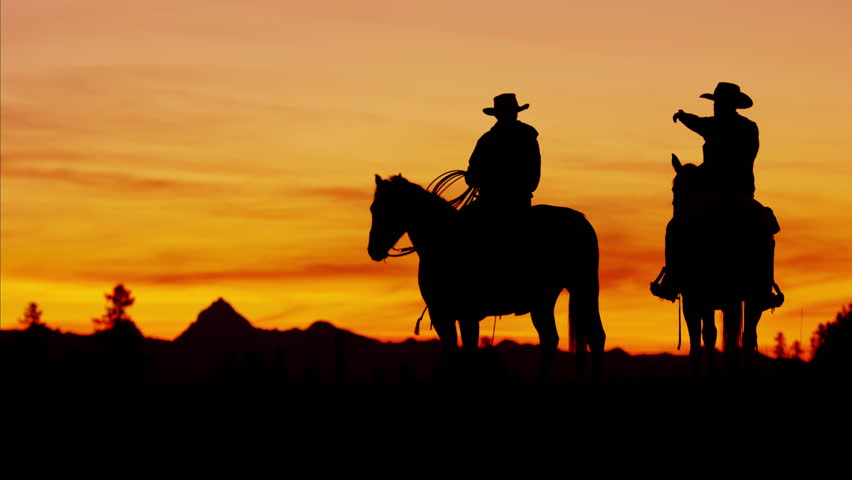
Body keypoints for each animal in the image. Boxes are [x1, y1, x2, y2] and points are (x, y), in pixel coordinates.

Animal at [368, 172, 604, 382]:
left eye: (391, 208)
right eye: (373, 209)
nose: (374, 250)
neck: (443, 240)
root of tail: (581, 221)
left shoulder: (459, 314)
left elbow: (466, 352)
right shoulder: (448, 314)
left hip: (583, 287)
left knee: (595, 336)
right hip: (544, 300)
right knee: (552, 339)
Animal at [656, 156, 784, 374]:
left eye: (676, 189)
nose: (676, 213)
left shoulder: (694, 300)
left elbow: (700, 341)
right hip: (754, 295)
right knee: (748, 337)